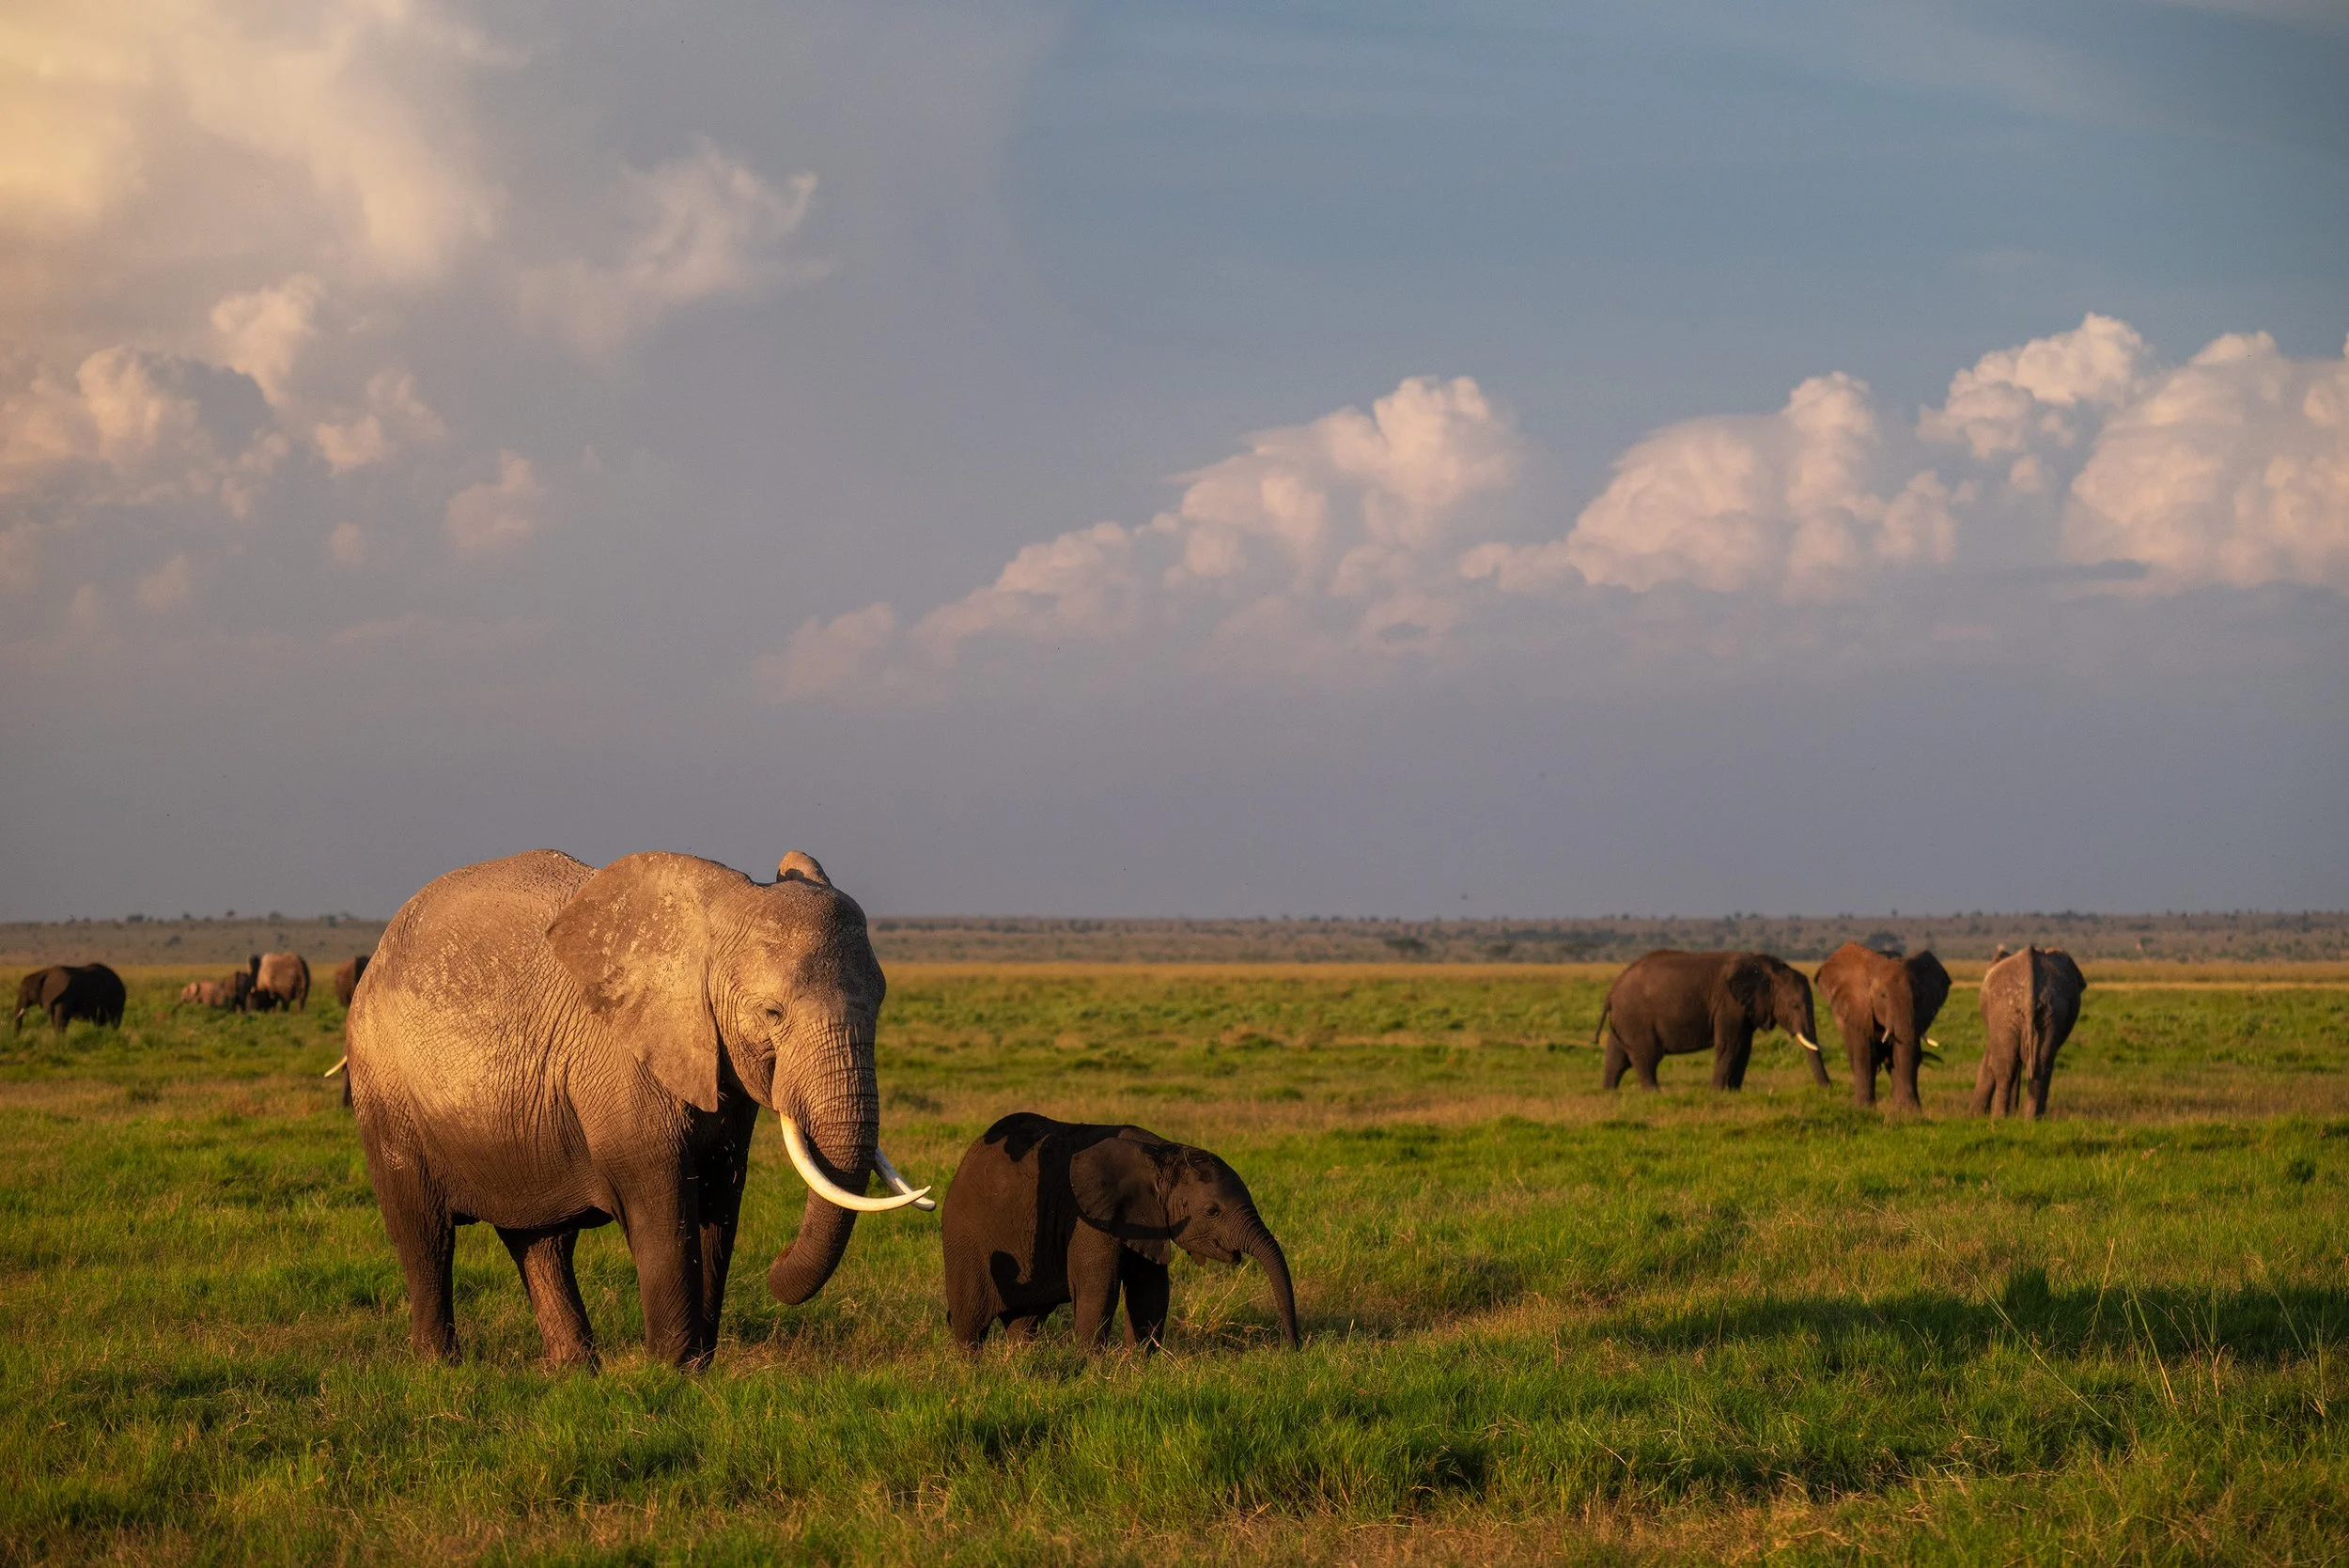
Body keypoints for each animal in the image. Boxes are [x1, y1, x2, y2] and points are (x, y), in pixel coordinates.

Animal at [346, 847, 932, 1369]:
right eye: (773, 1013)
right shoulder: (624, 1060)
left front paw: (695, 1370)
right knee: (425, 1236)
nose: (778, 1262)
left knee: (539, 1241)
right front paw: (668, 1370)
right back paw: (440, 1368)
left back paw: (574, 1371)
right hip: (384, 1085)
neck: (716, 915)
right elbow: (664, 1209)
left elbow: (719, 1203)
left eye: (880, 1004)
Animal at [941, 1112, 1299, 1355]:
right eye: (1213, 1211)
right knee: (970, 1322)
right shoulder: (1088, 1216)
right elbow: (1100, 1288)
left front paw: (1138, 1367)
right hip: (965, 1237)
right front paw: (1089, 1370)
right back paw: (972, 1371)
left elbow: (1150, 1290)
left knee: (1024, 1322)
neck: (1163, 1154)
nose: (1295, 1348)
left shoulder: (1146, 1218)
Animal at [1596, 950, 1822, 1090]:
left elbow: (1743, 1048)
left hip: (1624, 1019)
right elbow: (1730, 1045)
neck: (1765, 966)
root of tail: (1613, 989)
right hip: (1635, 1018)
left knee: (1617, 1057)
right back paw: (1655, 1093)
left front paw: (1734, 1092)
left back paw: (1610, 1092)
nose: (1826, 1088)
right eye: (1795, 1006)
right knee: (1647, 1056)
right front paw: (1716, 1093)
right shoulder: (1729, 1003)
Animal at [1814, 943, 1952, 1111]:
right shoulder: (1859, 1008)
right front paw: (1864, 1109)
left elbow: (1902, 1056)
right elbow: (1865, 1055)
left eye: (1919, 998)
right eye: (1883, 996)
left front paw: (1907, 1112)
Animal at [1973, 945, 2087, 1119]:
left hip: (2008, 1008)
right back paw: (2030, 1119)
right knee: (2041, 1064)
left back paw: (2001, 1117)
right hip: (2043, 1009)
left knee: (2007, 1065)